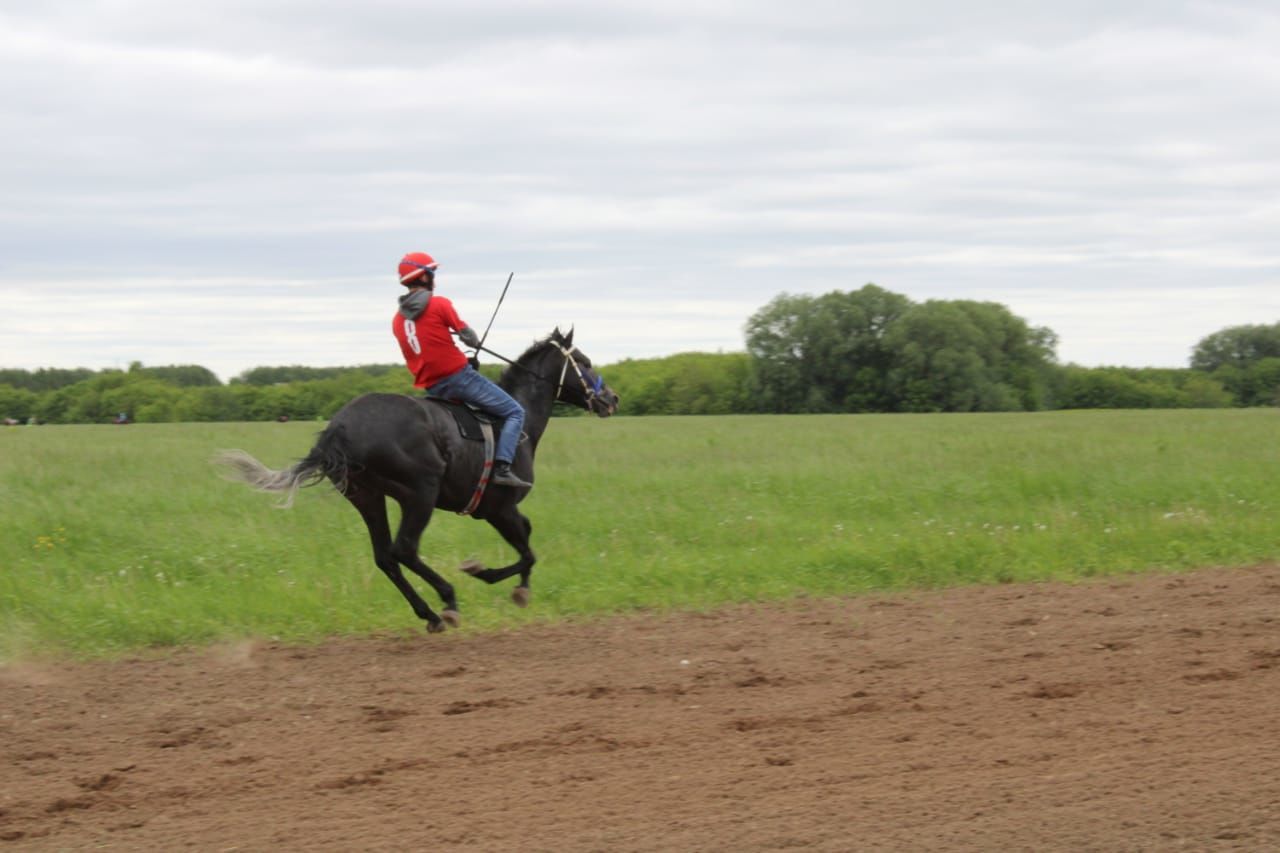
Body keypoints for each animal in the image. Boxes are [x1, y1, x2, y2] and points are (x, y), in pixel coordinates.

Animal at [216, 325, 619, 630]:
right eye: (584, 362)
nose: (611, 398)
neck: (516, 421)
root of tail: (339, 428)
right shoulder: (498, 508)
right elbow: (528, 551)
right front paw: (486, 574)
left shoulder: (497, 511)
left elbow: (528, 541)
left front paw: (518, 587)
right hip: (419, 493)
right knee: (404, 549)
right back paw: (448, 600)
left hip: (367, 497)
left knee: (385, 557)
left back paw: (429, 613)